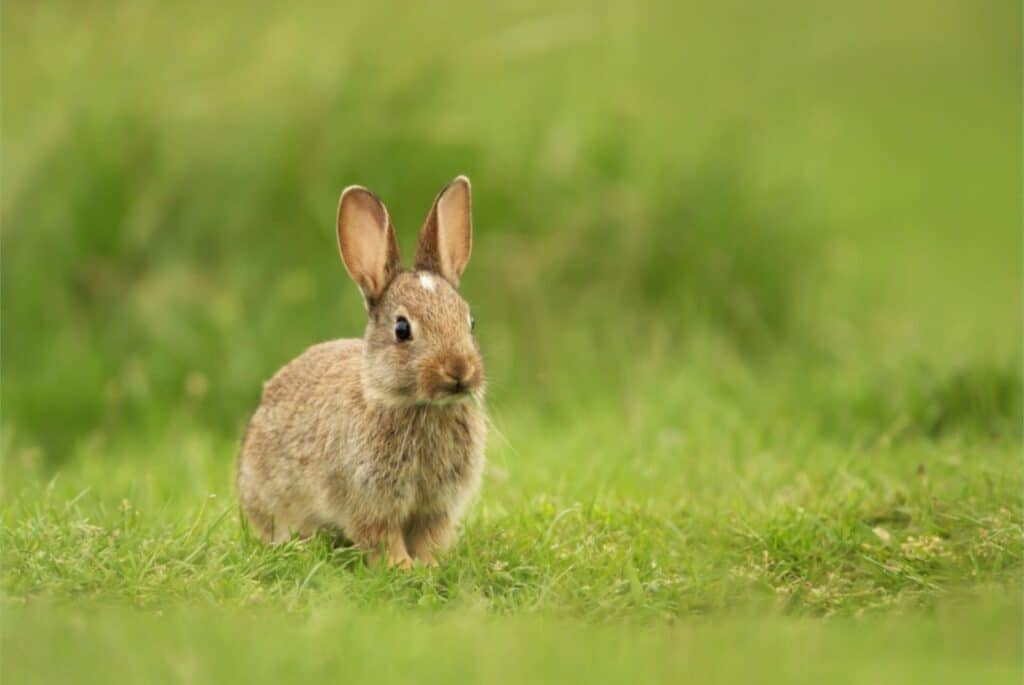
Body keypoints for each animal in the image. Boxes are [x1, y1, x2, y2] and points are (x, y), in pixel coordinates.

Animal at [237, 176, 486, 568]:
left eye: (470, 322)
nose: (459, 370)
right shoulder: (367, 501)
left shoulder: (436, 508)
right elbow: (381, 538)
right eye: (402, 329)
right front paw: (403, 569)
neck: (418, 407)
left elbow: (430, 537)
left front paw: (430, 567)